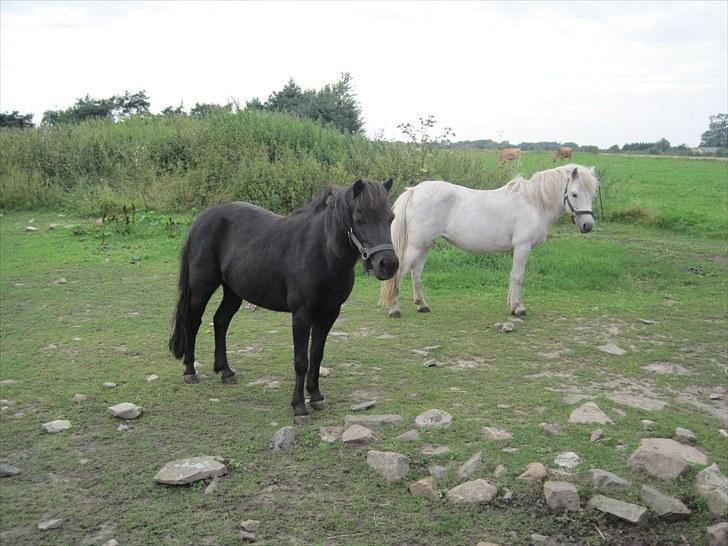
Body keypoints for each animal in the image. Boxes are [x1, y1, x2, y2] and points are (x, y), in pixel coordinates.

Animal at [169, 178, 398, 420]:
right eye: (360, 219)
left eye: (390, 218)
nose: (388, 264)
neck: (322, 253)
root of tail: (200, 221)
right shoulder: (302, 315)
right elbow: (301, 361)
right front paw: (299, 407)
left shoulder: (329, 313)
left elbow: (316, 355)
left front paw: (316, 397)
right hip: (202, 288)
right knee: (193, 323)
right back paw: (190, 371)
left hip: (233, 291)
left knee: (220, 321)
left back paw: (226, 371)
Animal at [382, 163, 596, 314]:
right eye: (574, 194)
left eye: (592, 194)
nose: (588, 226)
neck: (534, 202)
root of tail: (414, 191)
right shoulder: (522, 247)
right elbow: (518, 276)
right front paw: (518, 308)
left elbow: (512, 276)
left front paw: (511, 304)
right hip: (418, 245)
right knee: (400, 271)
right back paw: (394, 309)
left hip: (425, 245)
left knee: (416, 273)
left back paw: (422, 305)